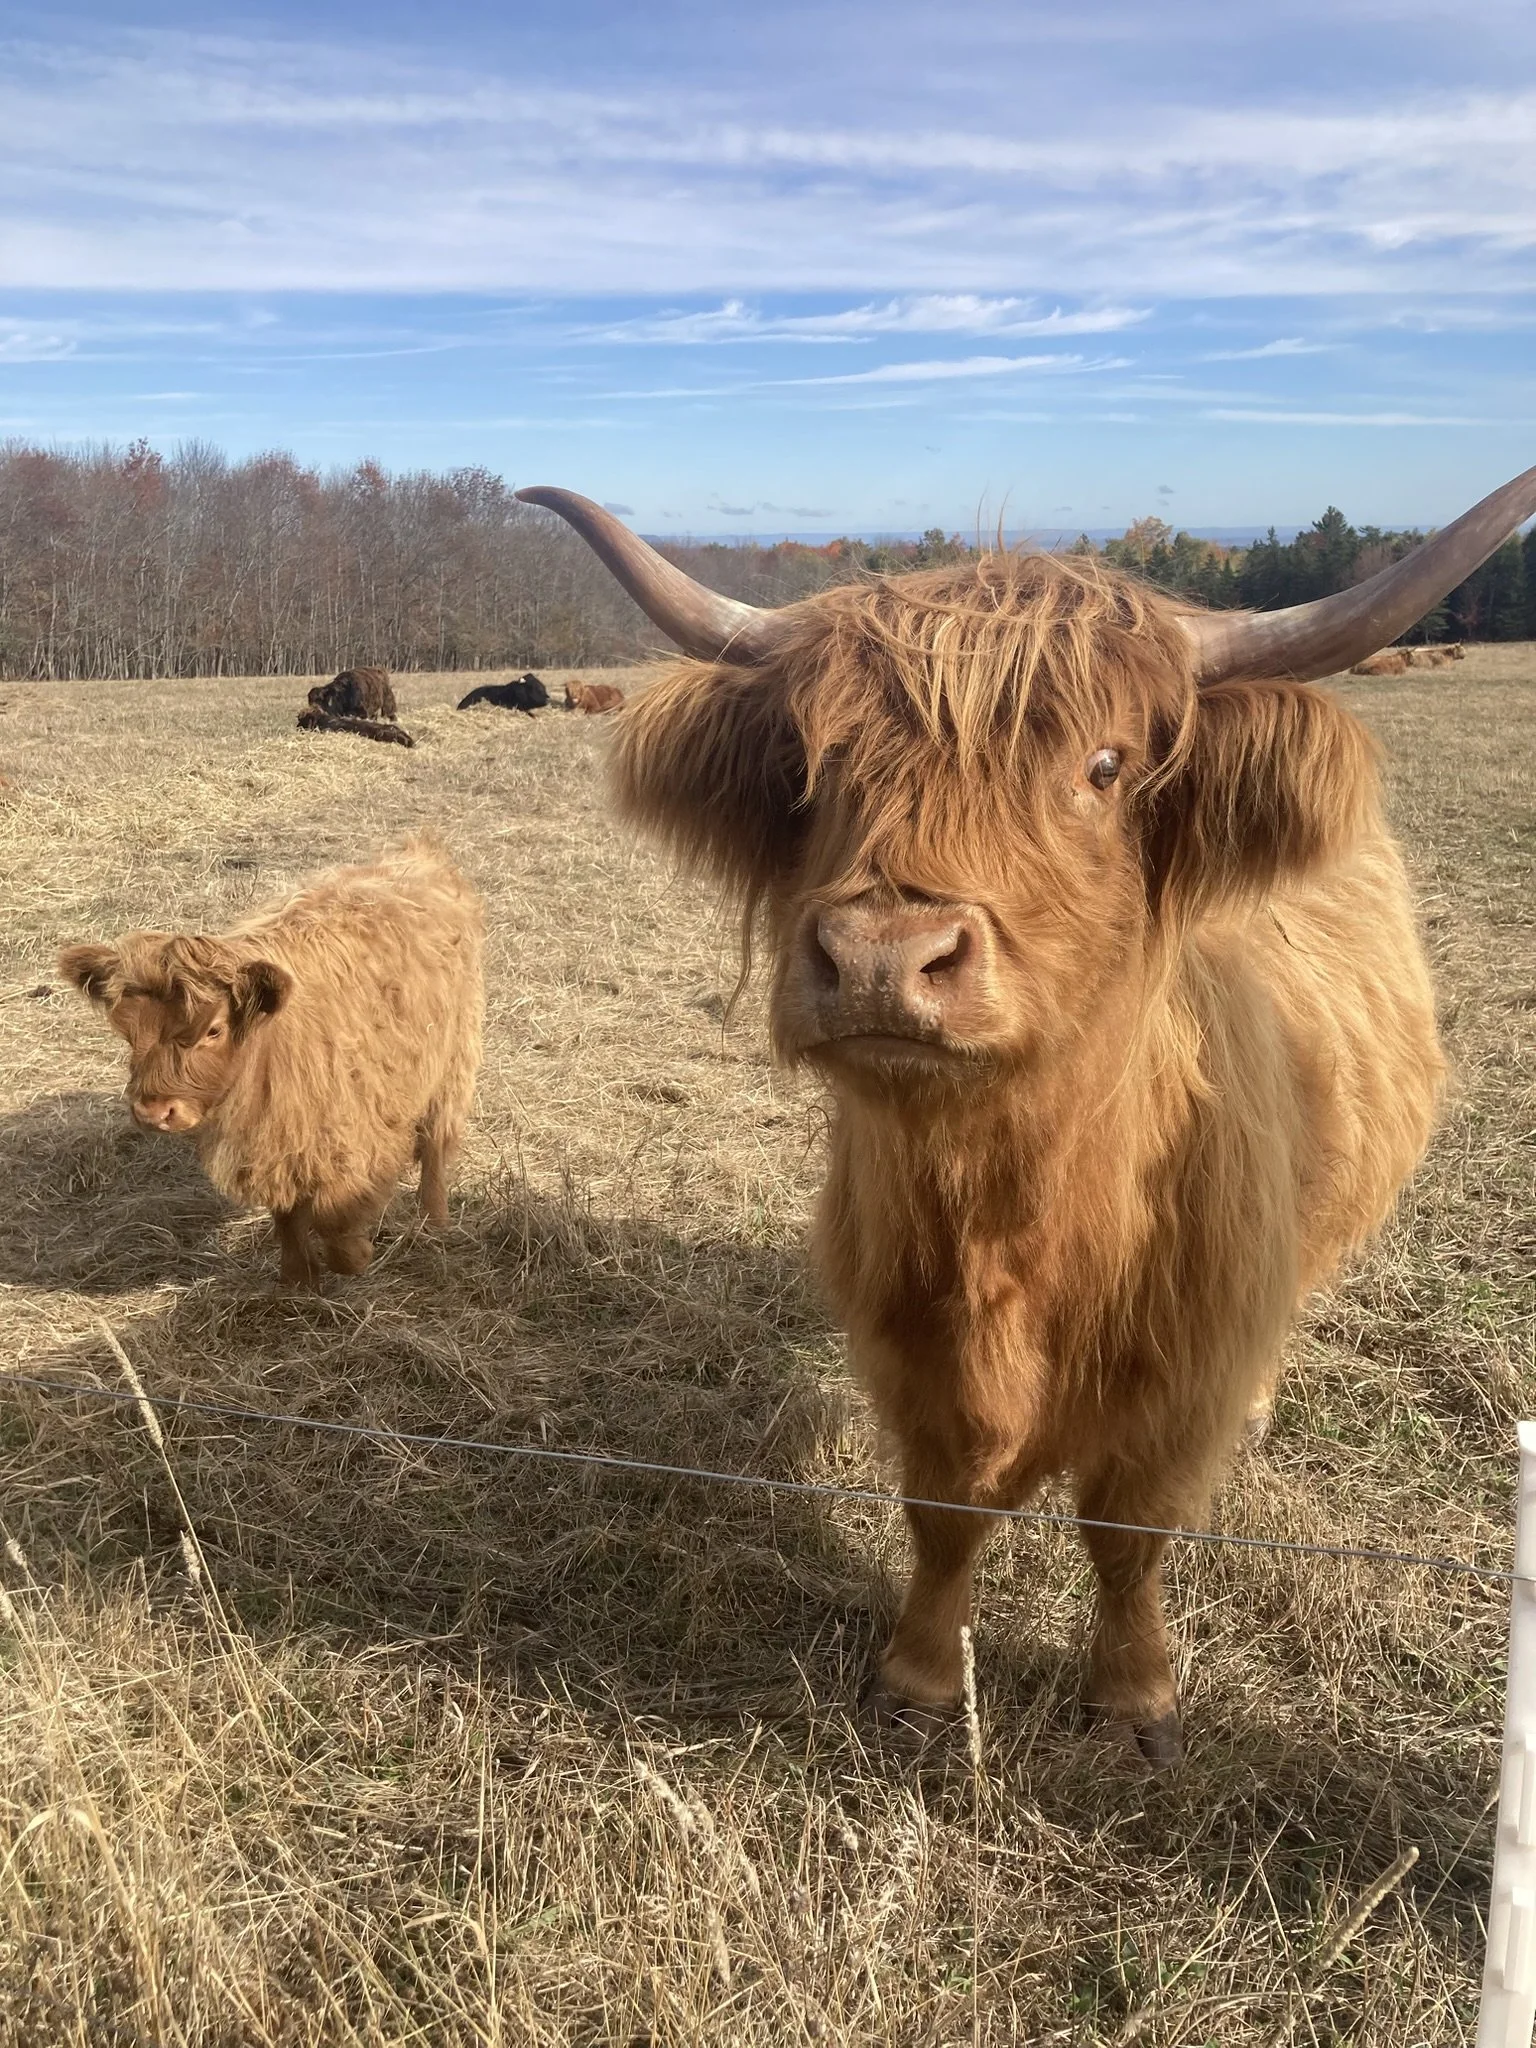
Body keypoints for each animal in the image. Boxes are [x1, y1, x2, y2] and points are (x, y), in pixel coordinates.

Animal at [59, 840, 484, 1289]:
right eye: (128, 1031)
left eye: (213, 1030)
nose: (153, 1112)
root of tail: (420, 855)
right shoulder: (276, 1139)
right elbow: (288, 1213)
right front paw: (298, 1277)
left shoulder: (359, 1132)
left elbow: (336, 1216)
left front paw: (355, 1257)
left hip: (453, 1062)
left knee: (436, 1144)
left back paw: (434, 1222)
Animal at [516, 461, 1536, 1765]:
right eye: (808, 768)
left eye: (1102, 766)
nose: (881, 957)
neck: (1011, 1196)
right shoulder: (907, 1340)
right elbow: (944, 1509)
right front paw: (916, 1680)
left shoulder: (1182, 1363)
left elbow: (1130, 1532)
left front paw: (1135, 1699)